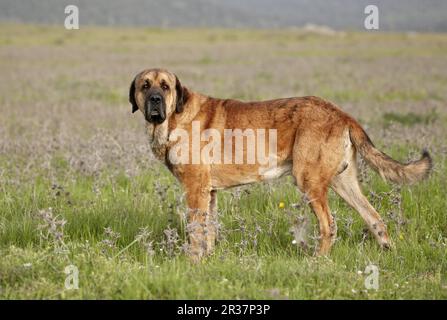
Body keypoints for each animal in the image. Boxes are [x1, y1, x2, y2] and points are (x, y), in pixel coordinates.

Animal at [130, 69, 434, 262]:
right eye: (145, 86)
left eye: (165, 86)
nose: (155, 100)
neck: (171, 119)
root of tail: (341, 113)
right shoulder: (209, 192)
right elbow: (210, 231)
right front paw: (208, 259)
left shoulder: (195, 189)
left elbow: (196, 231)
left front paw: (193, 263)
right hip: (344, 183)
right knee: (374, 218)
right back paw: (388, 254)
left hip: (308, 181)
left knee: (329, 224)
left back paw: (317, 261)